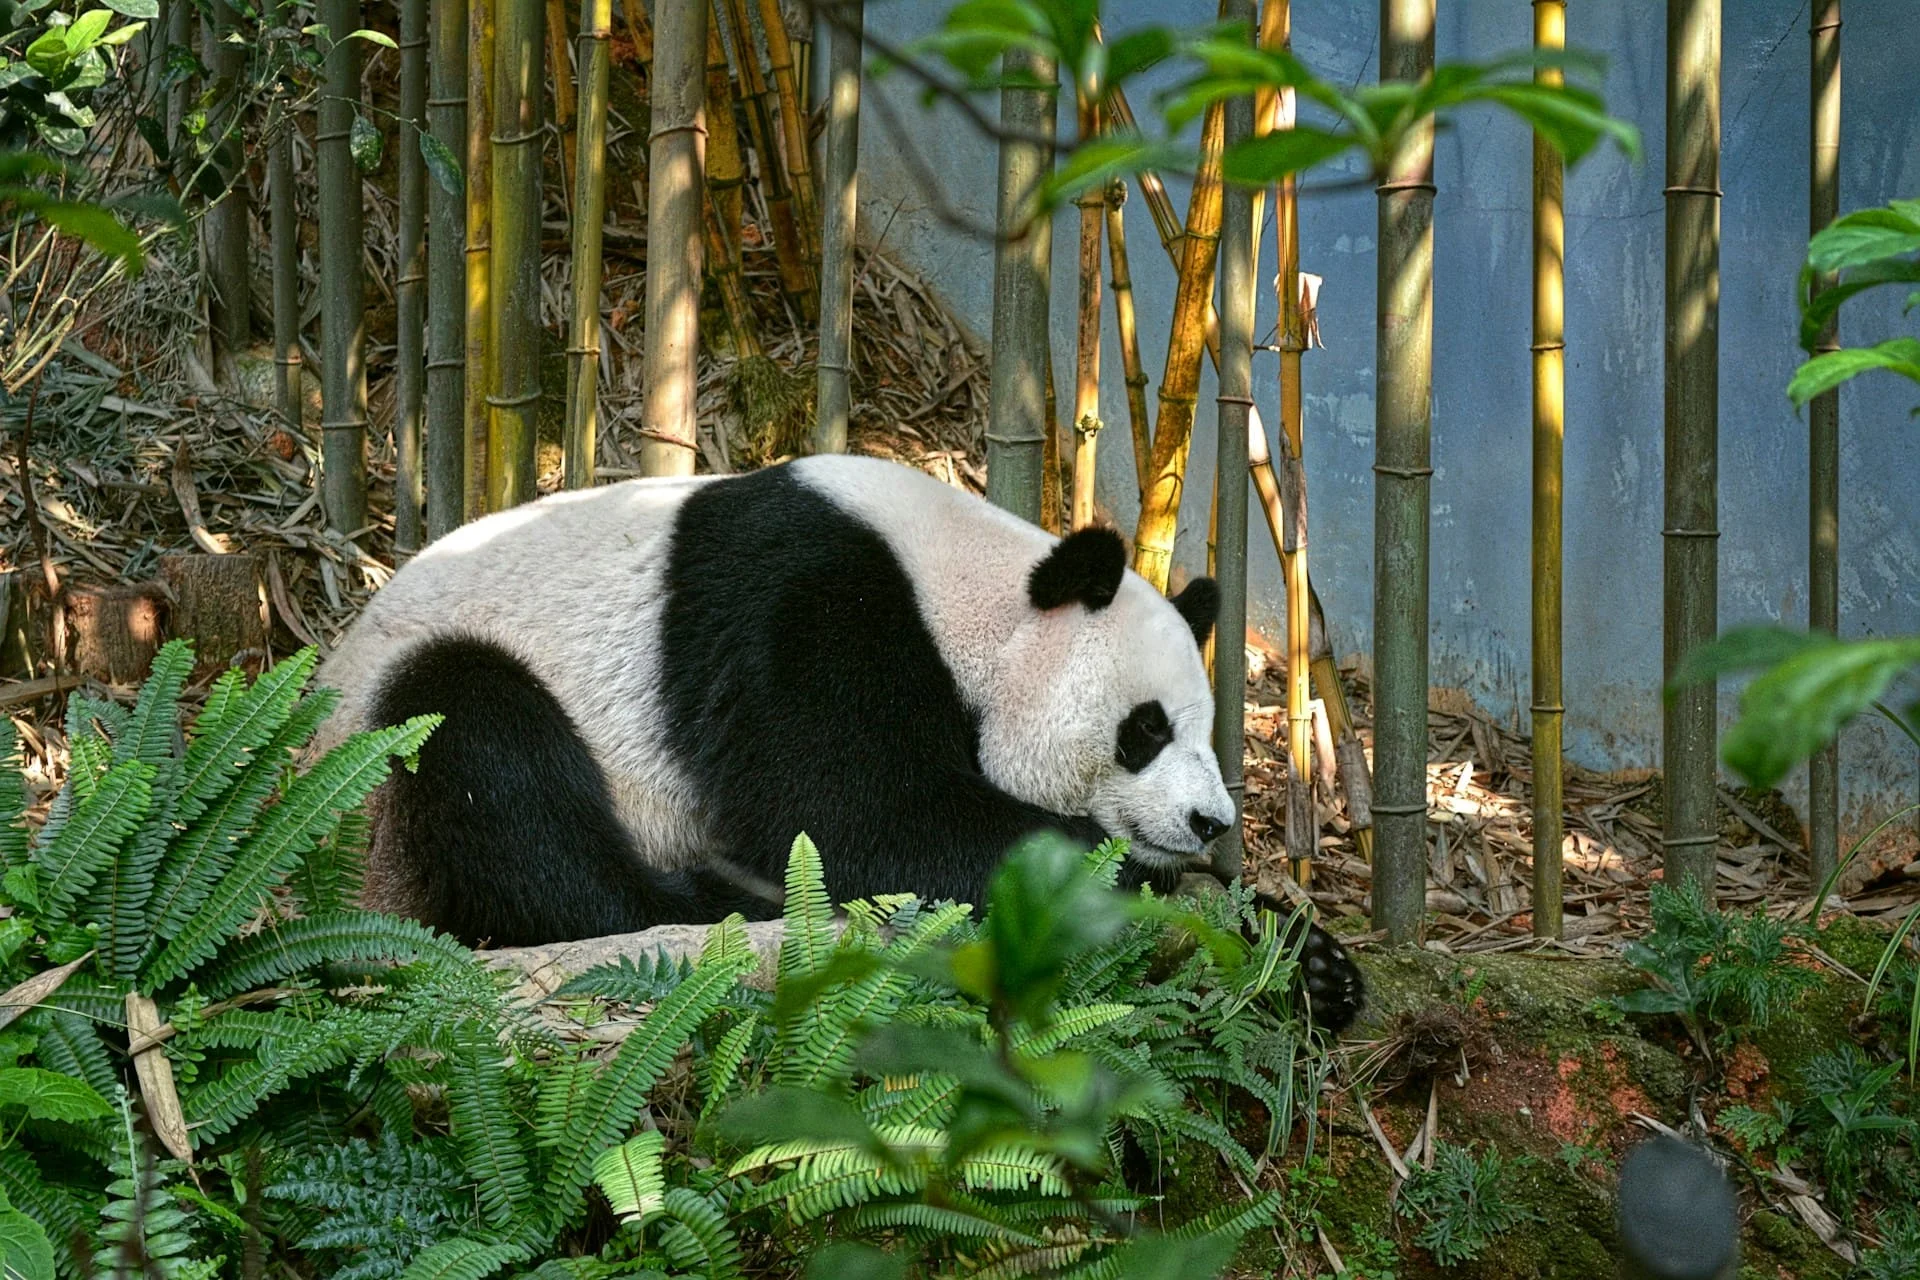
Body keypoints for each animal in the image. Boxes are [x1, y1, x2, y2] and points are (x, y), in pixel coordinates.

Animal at [312, 454, 1365, 1033]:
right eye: (1144, 730)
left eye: (1200, 731)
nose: (1209, 821)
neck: (968, 589)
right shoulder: (804, 612)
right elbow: (850, 818)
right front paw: (1133, 880)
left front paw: (1313, 964)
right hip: (381, 760)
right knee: (488, 760)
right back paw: (716, 901)